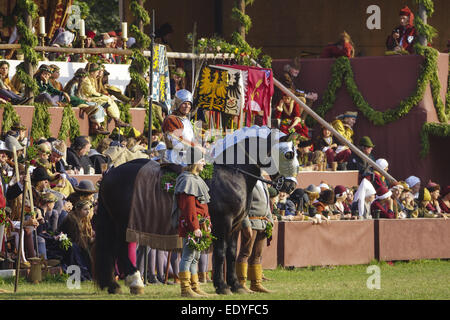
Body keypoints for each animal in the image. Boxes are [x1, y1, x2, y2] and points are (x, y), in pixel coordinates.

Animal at [94, 126, 298, 294]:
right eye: (288, 154)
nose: (291, 186)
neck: (231, 175)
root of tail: (110, 172)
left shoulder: (236, 225)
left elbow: (232, 253)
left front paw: (235, 285)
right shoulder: (222, 224)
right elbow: (221, 253)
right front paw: (222, 286)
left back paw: (114, 285)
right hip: (123, 222)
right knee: (120, 247)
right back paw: (135, 281)